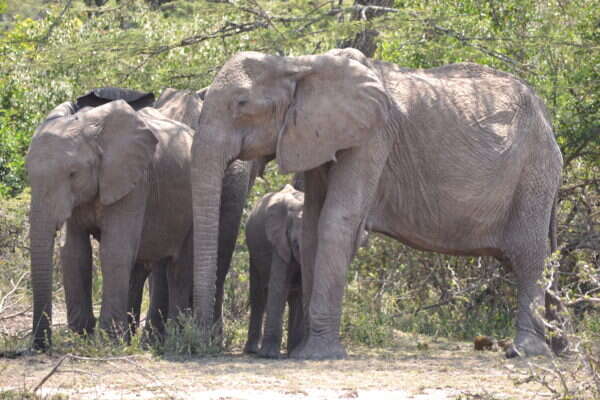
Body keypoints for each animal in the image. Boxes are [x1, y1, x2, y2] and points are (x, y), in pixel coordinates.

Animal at [244, 185, 304, 360]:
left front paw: (296, 353)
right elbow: (278, 287)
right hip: (253, 252)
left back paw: (292, 351)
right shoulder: (279, 241)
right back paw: (253, 351)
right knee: (258, 296)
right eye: (296, 244)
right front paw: (269, 355)